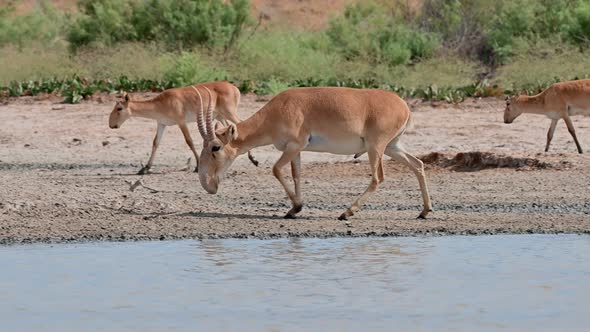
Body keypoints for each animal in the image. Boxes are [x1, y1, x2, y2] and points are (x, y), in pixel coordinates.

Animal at [108, 81, 260, 174]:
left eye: (119, 108)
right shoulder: (161, 124)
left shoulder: (181, 122)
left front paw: (197, 166)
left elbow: (189, 141)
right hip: (219, 116)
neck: (160, 103)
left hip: (229, 112)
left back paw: (254, 159)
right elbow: (156, 143)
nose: (111, 124)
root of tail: (235, 88)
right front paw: (145, 168)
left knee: (241, 123)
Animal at [194, 86, 434, 220]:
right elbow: (296, 174)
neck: (279, 109)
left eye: (215, 147)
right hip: (393, 147)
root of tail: (404, 106)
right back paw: (424, 211)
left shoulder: (294, 146)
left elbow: (276, 170)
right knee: (418, 164)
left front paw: (296, 208)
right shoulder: (296, 150)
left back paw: (347, 212)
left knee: (378, 178)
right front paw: (293, 209)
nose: (209, 185)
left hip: (376, 148)